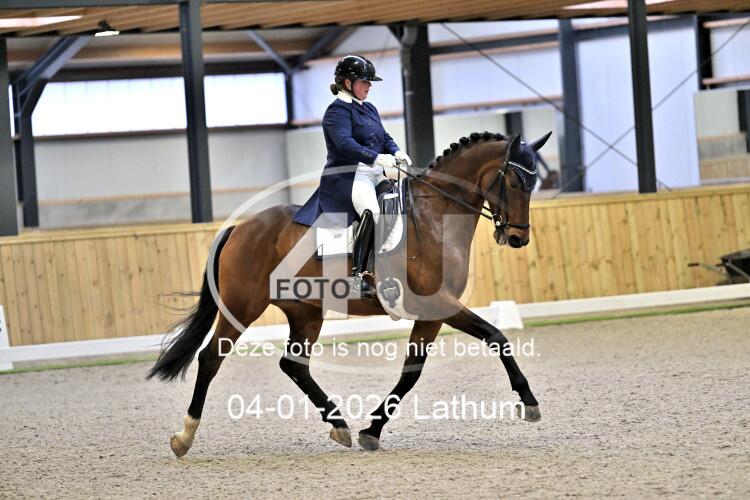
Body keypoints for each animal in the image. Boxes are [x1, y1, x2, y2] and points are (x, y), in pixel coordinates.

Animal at [148, 130, 552, 455]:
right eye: (514, 182)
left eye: (533, 184)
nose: (518, 238)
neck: (435, 217)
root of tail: (239, 228)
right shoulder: (439, 304)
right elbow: (496, 336)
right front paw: (529, 401)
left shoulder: (432, 312)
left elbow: (412, 372)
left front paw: (372, 430)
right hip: (242, 306)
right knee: (210, 359)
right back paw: (184, 437)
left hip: (305, 311)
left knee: (294, 365)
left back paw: (339, 424)